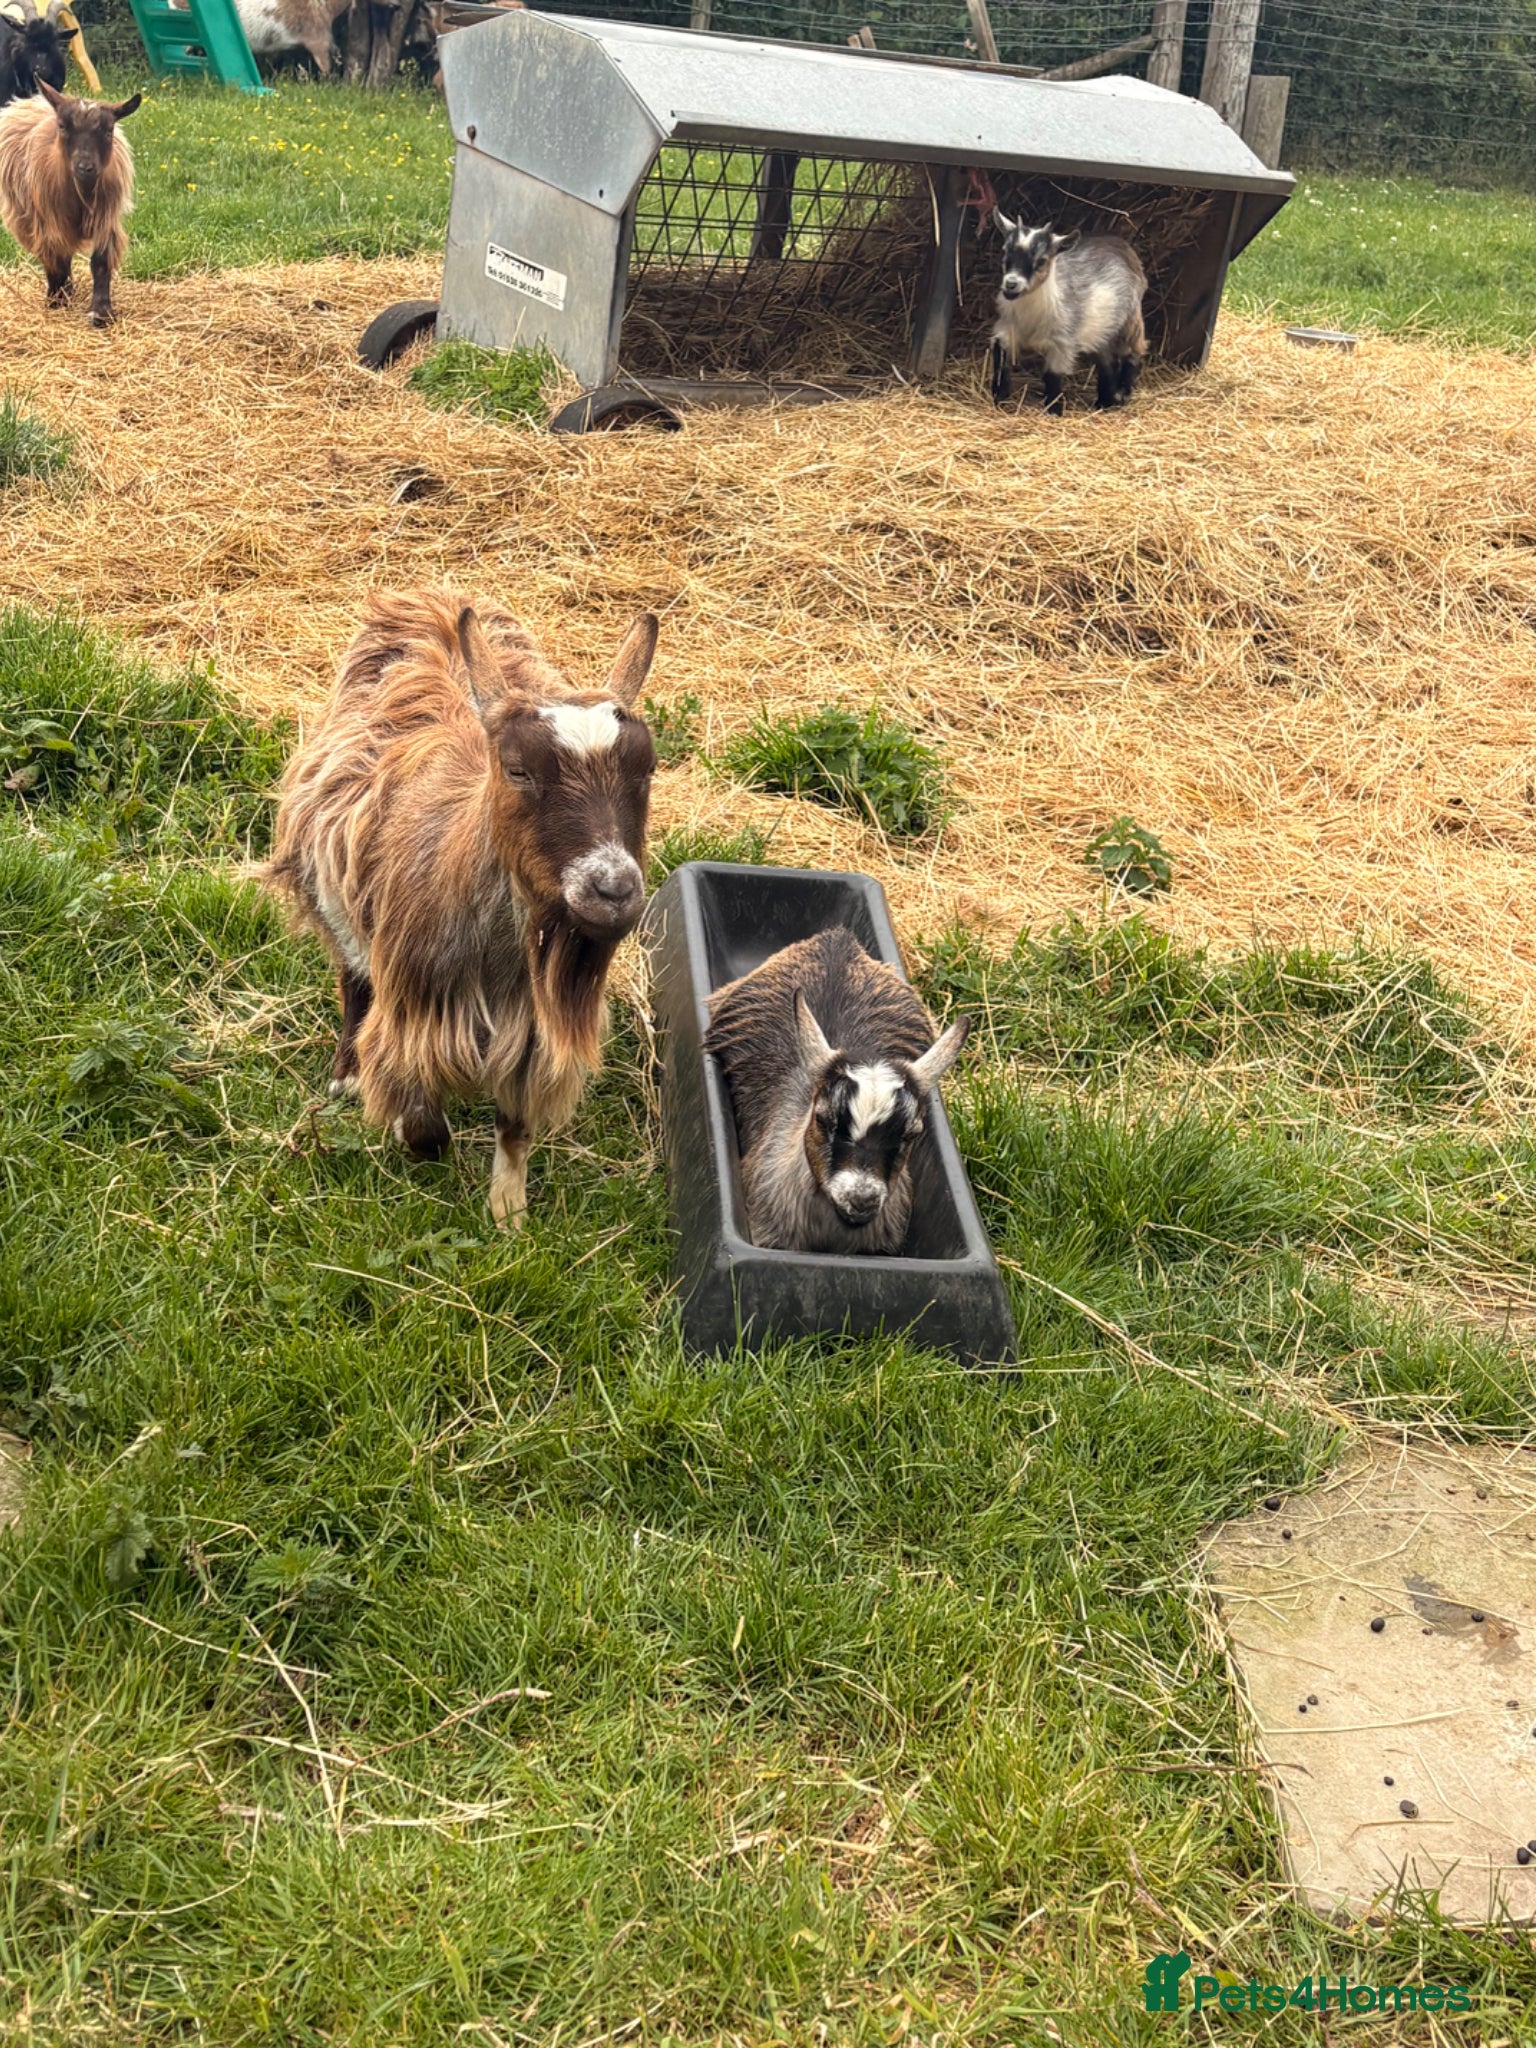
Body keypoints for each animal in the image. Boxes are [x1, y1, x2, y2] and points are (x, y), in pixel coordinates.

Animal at [0, 79, 137, 325]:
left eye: (108, 130)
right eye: (62, 126)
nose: (85, 167)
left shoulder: (106, 219)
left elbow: (100, 262)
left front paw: (100, 312)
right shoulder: (49, 222)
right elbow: (57, 261)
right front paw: (58, 301)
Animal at [264, 590, 658, 1230]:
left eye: (647, 770)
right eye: (518, 769)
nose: (613, 890)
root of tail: (437, 598)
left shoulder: (531, 1034)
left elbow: (515, 1127)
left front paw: (509, 1214)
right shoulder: (412, 1012)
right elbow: (426, 1127)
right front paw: (413, 1137)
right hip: (331, 887)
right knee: (351, 974)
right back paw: (346, 1075)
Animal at [989, 211, 1147, 415]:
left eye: (1041, 261)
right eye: (1005, 251)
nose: (1011, 284)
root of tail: (1123, 246)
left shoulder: (1062, 341)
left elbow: (1053, 375)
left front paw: (1054, 410)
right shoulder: (1007, 329)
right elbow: (1000, 361)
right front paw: (999, 398)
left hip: (1130, 320)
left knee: (1134, 352)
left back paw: (1122, 393)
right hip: (1102, 329)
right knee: (1107, 363)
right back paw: (1104, 402)